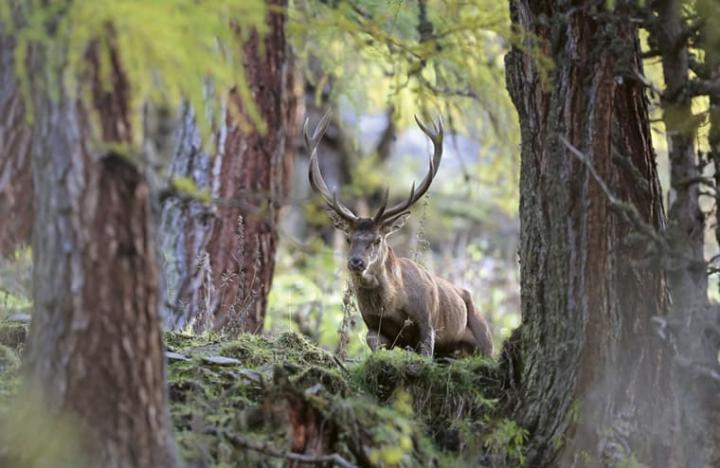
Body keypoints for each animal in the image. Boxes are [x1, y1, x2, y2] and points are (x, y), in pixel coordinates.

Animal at [304, 111, 493, 358]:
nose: (356, 262)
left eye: (377, 239)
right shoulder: (373, 327)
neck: (393, 304)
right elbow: (373, 342)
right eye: (348, 238)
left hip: (485, 339)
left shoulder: (427, 321)